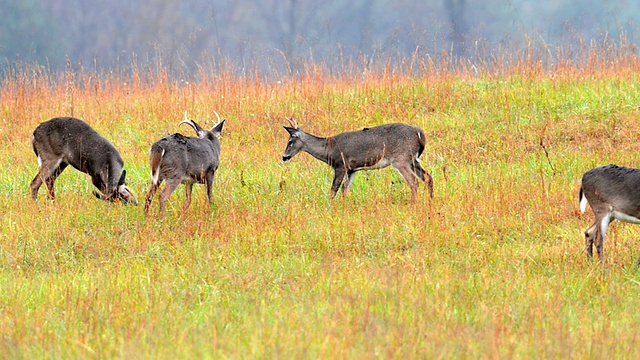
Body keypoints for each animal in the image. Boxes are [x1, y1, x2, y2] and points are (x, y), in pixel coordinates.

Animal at [282, 119, 436, 201]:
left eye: (290, 141)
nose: (284, 157)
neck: (327, 149)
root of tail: (419, 133)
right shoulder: (352, 170)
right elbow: (345, 190)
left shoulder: (341, 165)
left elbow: (333, 189)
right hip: (413, 159)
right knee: (428, 177)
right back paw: (430, 200)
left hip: (400, 159)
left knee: (414, 182)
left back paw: (413, 203)